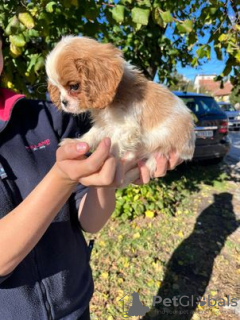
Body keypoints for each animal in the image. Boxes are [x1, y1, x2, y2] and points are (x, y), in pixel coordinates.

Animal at [46, 35, 196, 185]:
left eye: (74, 87)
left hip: (167, 142)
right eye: (58, 88)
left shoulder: (127, 128)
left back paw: (146, 167)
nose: (63, 102)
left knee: (157, 155)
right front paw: (77, 142)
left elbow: (114, 144)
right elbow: (91, 135)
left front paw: (107, 159)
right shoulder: (104, 124)